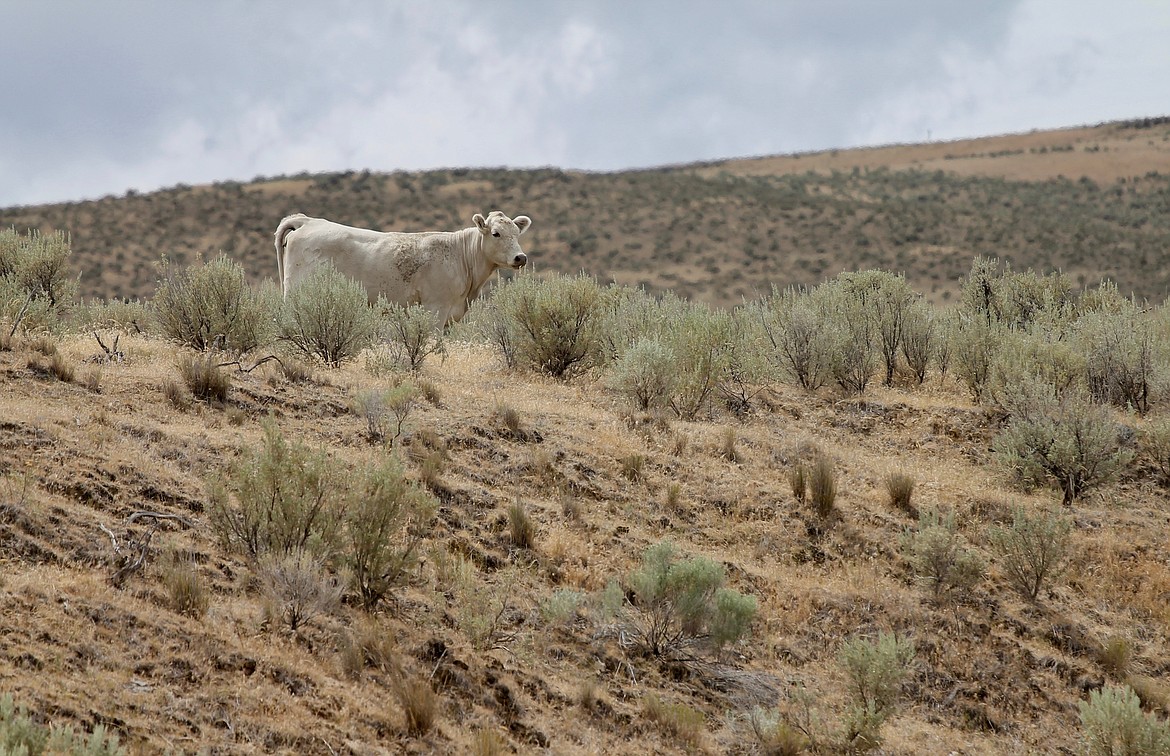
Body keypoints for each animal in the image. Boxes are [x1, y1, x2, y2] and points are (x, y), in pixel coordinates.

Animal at [273, 211, 531, 325]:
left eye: (517, 233)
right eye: (496, 233)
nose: (520, 257)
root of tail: (308, 221)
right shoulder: (435, 307)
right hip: (297, 293)